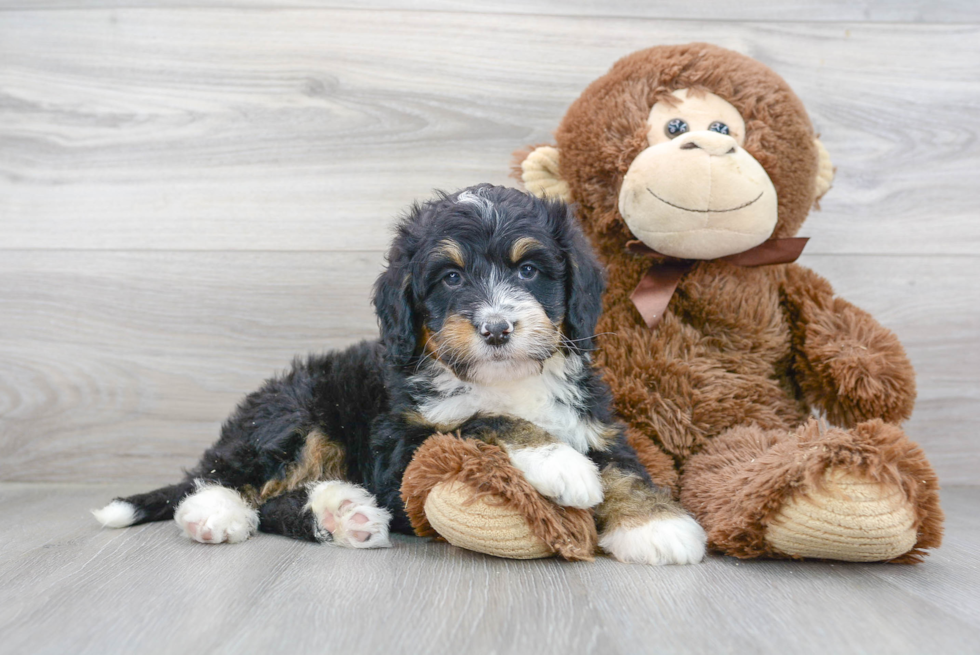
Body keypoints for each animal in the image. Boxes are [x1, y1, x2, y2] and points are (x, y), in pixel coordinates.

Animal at [90, 183, 704, 564]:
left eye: (529, 270)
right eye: (451, 278)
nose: (497, 328)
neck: (505, 379)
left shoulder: (594, 422)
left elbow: (624, 470)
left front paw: (655, 524)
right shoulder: (405, 447)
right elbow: (485, 421)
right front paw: (560, 463)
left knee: (275, 504)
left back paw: (344, 514)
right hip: (295, 413)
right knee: (226, 476)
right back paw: (213, 513)